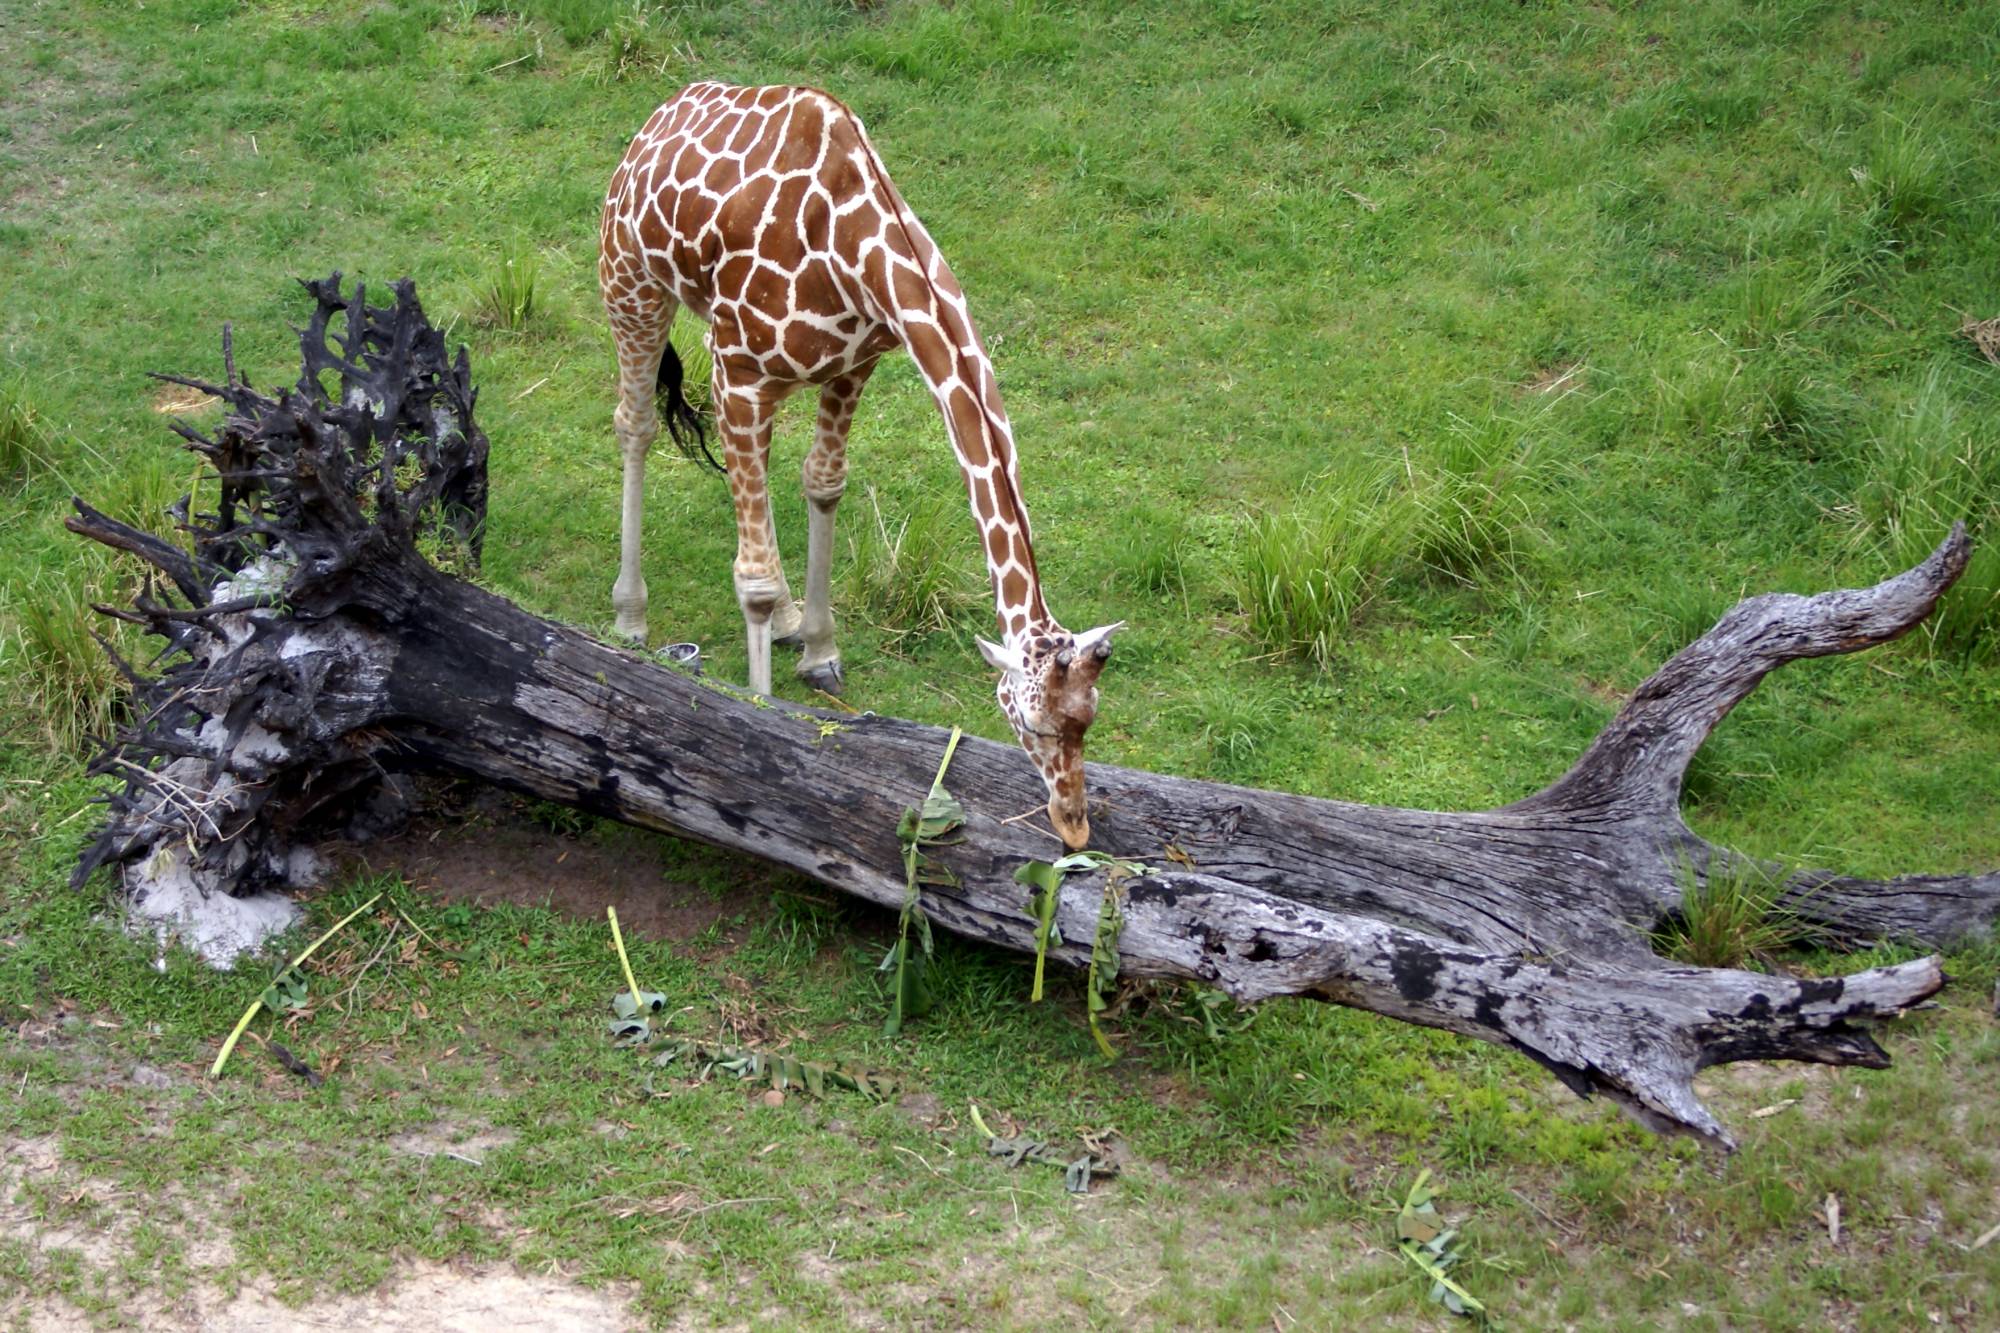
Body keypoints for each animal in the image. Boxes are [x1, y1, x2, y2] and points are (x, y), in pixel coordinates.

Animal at [592, 83, 1128, 844]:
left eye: (1089, 717)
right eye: (1027, 721)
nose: (1074, 827)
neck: (853, 246)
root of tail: (660, 116)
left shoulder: (853, 365)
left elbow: (823, 484)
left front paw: (819, 652)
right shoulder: (738, 375)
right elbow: (752, 581)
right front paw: (759, 720)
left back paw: (789, 619)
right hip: (631, 284)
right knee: (634, 425)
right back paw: (631, 615)